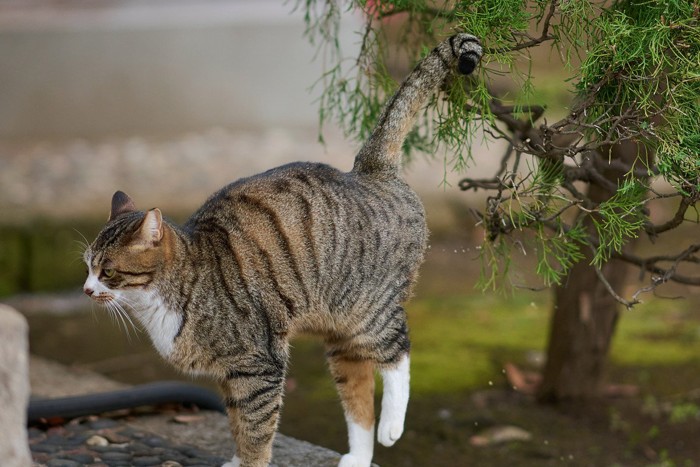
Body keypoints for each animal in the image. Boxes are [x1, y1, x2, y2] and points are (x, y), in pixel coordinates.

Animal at [83, 33, 482, 467]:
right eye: (87, 265)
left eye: (107, 271)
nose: (86, 290)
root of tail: (368, 170)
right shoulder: (231, 376)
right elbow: (239, 425)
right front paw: (236, 459)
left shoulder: (259, 367)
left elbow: (257, 431)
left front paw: (250, 463)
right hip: (339, 333)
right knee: (357, 390)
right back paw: (357, 456)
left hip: (367, 309)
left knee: (398, 351)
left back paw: (393, 425)